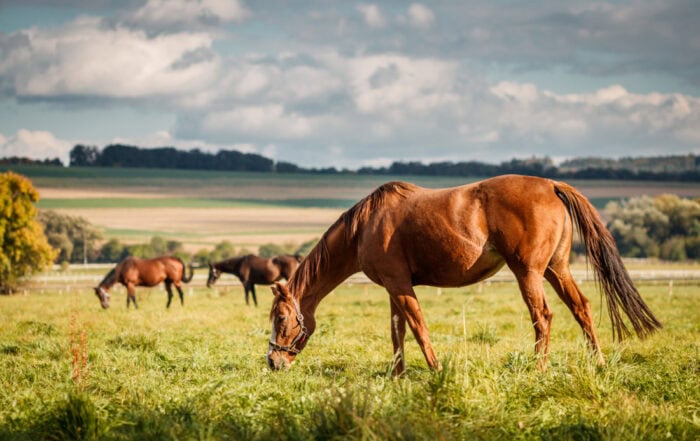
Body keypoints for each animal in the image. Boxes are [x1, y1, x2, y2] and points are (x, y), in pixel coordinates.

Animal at [267, 175, 662, 375]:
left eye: (281, 318)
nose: (272, 361)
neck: (365, 226)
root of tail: (551, 185)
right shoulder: (393, 288)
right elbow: (397, 332)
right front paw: (397, 375)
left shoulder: (400, 285)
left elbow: (418, 328)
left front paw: (436, 370)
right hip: (556, 269)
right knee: (581, 308)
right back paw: (598, 362)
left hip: (529, 273)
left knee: (543, 316)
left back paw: (538, 369)